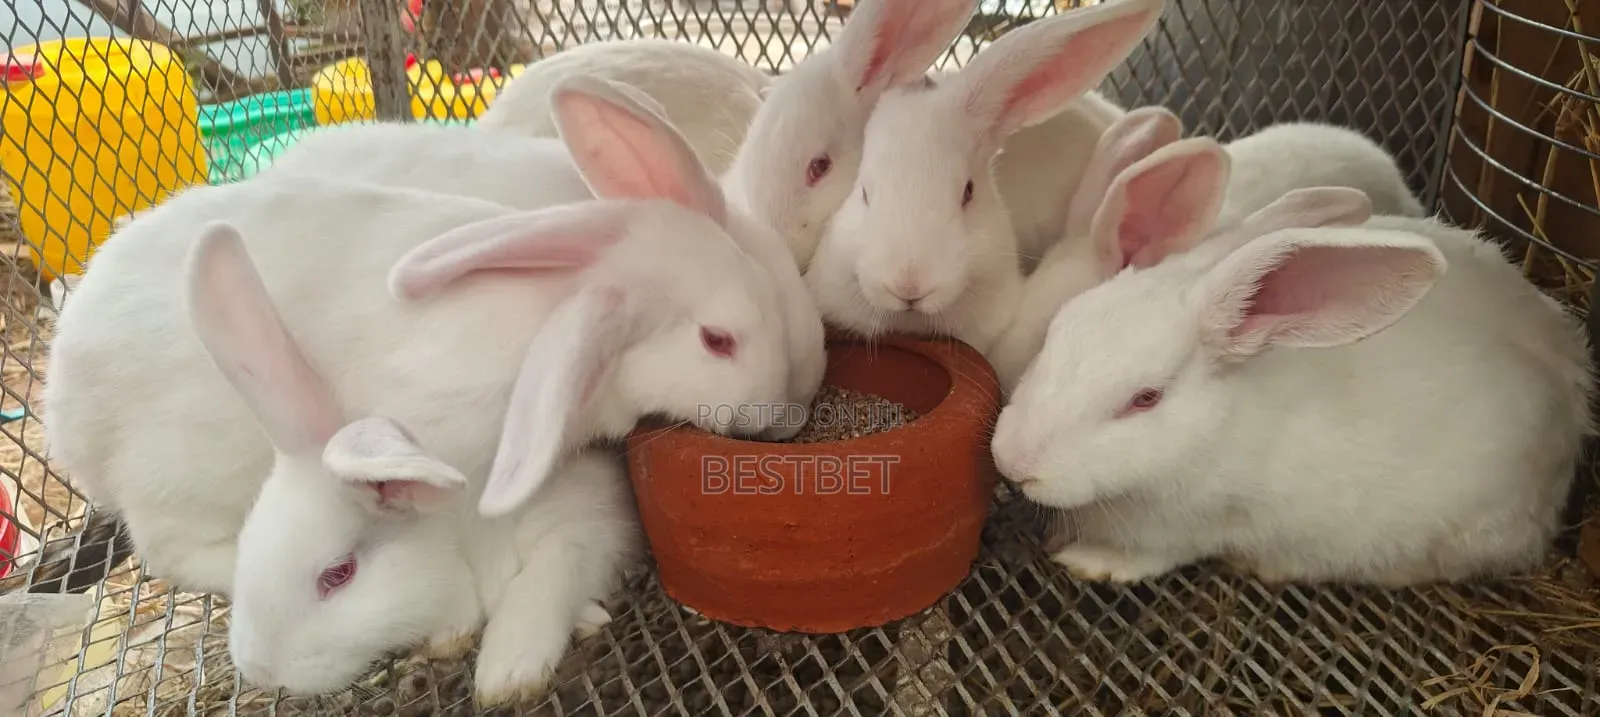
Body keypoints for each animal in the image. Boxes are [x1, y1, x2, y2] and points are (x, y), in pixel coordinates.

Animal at [184, 224, 637, 704]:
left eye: (339, 574)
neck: (459, 540)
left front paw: (509, 672)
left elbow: (548, 577)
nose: (261, 672)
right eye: (243, 544)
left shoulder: (584, 511)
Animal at [989, 145, 1594, 586]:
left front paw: (1089, 561)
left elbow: (1154, 557)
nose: (1012, 461)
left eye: (1146, 399)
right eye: (1056, 331)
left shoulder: (1201, 525)